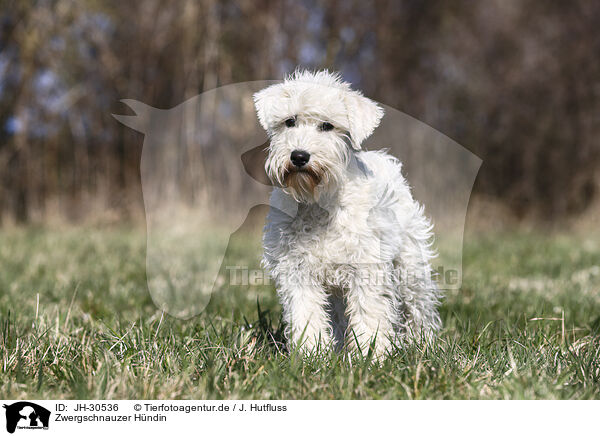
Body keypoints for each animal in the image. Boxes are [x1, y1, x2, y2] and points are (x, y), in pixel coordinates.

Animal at [253, 70, 440, 358]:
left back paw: (423, 344)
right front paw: (311, 355)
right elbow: (306, 314)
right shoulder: (298, 271)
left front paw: (371, 355)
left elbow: (369, 314)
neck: (318, 203)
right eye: (290, 121)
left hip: (411, 266)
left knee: (420, 308)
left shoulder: (366, 268)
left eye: (327, 126)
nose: (299, 156)